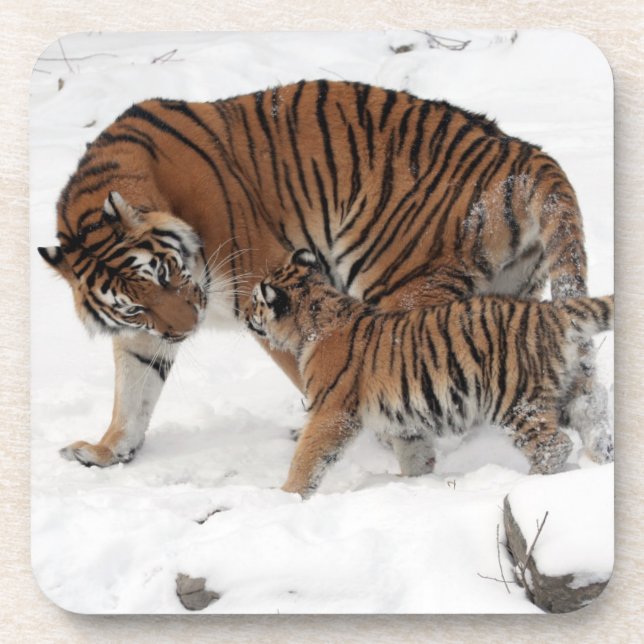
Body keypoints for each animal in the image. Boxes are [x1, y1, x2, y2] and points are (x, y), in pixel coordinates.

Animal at [37, 79, 609, 469]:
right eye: (134, 305)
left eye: (165, 273)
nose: (186, 329)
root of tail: (523, 152)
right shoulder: (144, 333)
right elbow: (133, 391)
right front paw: (107, 451)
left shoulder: (265, 286)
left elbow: (311, 368)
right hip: (514, 294)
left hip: (400, 283)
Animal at [244, 249, 614, 497]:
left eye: (255, 301)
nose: (245, 313)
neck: (317, 317)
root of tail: (549, 310)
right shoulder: (406, 420)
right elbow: (415, 456)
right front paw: (414, 483)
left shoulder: (331, 411)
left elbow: (308, 457)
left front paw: (286, 494)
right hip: (572, 393)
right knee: (595, 424)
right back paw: (600, 466)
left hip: (516, 401)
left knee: (555, 445)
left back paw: (531, 479)